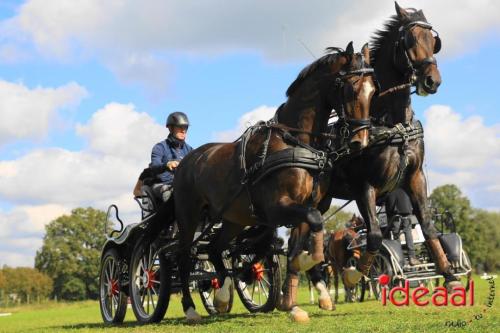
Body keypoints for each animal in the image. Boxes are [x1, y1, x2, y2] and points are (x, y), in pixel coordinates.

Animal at [172, 42, 376, 322]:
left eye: (373, 90)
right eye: (351, 88)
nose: (360, 141)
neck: (295, 142)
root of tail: (186, 161)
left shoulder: (303, 207)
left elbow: (297, 245)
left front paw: (293, 303)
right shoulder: (277, 208)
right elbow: (310, 231)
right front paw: (308, 269)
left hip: (234, 219)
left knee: (215, 248)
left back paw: (222, 295)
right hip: (188, 218)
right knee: (183, 258)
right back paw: (191, 308)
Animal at [320, 1, 460, 290]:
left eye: (434, 41)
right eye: (409, 40)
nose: (432, 81)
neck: (392, 123)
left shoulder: (415, 176)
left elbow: (427, 225)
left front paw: (450, 276)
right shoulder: (364, 185)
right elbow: (374, 234)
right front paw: (357, 274)